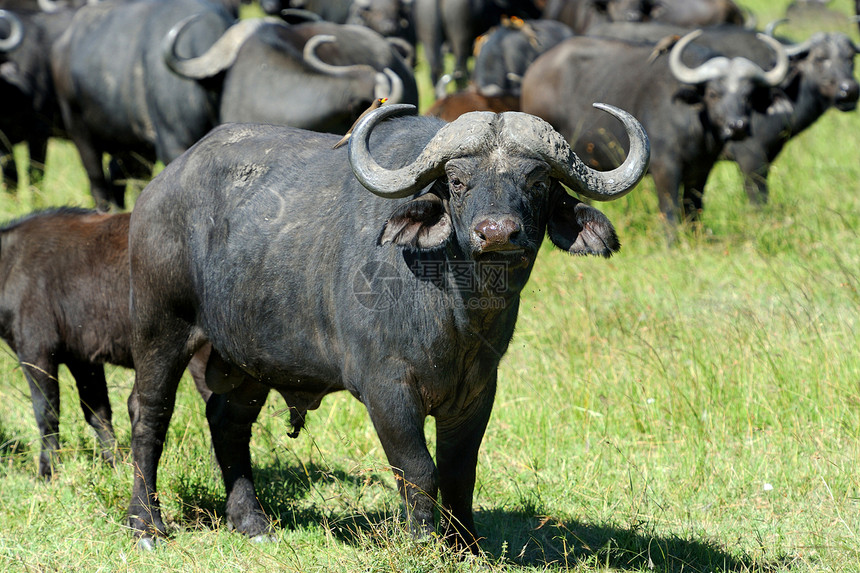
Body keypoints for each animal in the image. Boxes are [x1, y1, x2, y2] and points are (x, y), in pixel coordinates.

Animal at [0, 208, 212, 476]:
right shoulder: (83, 359)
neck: (10, 262)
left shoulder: (35, 352)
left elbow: (46, 412)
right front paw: (115, 463)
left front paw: (47, 471)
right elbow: (97, 412)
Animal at [124, 103, 648, 548]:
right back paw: (146, 524)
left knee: (227, 421)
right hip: (160, 330)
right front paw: (423, 543)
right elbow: (418, 470)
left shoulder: (478, 392)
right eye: (457, 181)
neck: (456, 312)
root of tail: (157, 190)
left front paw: (466, 545)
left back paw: (252, 523)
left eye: (537, 181)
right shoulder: (387, 390)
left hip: (247, 360)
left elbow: (460, 472)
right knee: (149, 414)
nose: (497, 232)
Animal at [520, 30, 788, 230]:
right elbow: (669, 211)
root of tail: (534, 70)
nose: (738, 126)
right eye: (713, 93)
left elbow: (693, 208)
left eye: (749, 95)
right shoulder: (665, 168)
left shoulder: (701, 170)